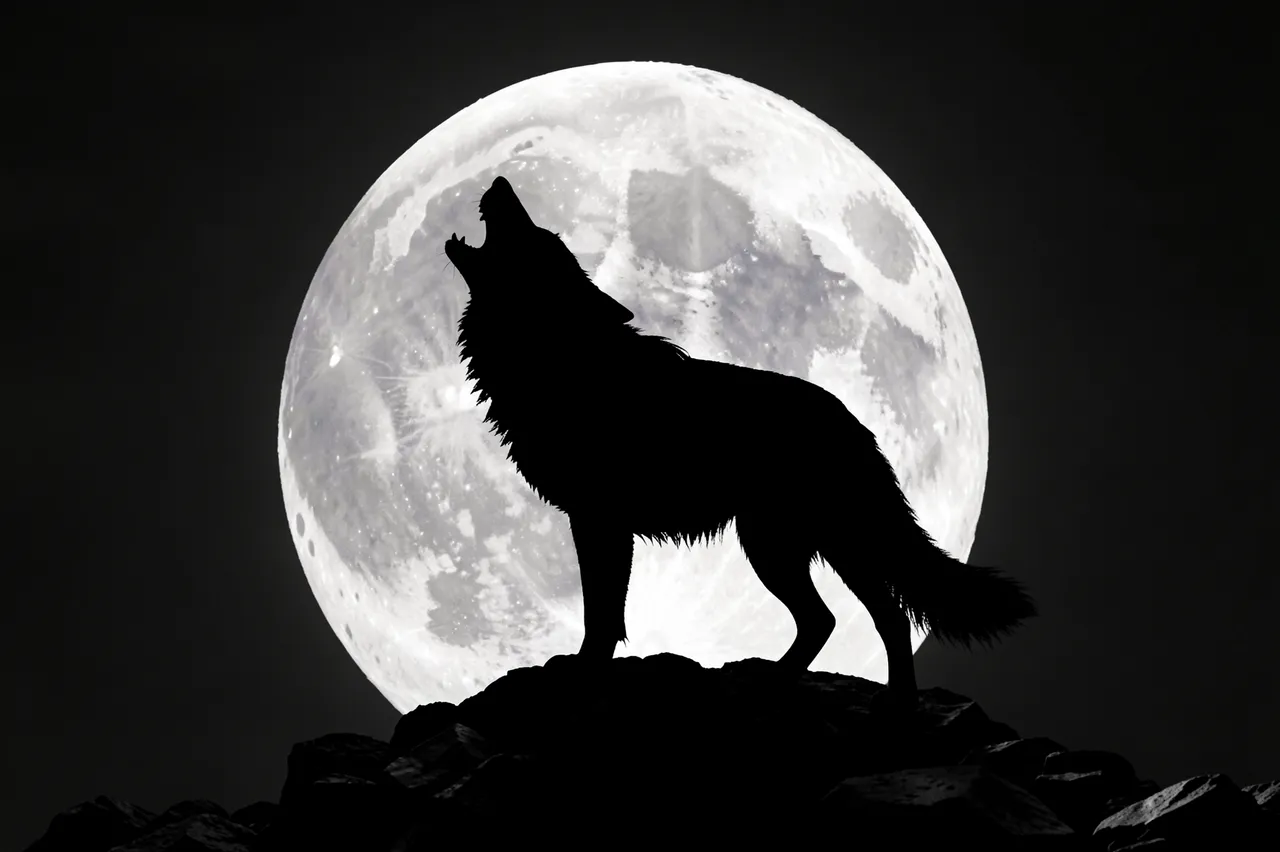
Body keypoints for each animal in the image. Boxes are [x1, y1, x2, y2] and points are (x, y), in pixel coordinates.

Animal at [444, 176, 1036, 704]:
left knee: (865, 617)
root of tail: (857, 427)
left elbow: (602, 612)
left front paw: (586, 669)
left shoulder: (601, 520)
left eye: (538, 238)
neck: (563, 360)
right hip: (801, 545)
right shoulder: (595, 520)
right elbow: (604, 609)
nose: (500, 181)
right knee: (848, 619)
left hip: (789, 545)